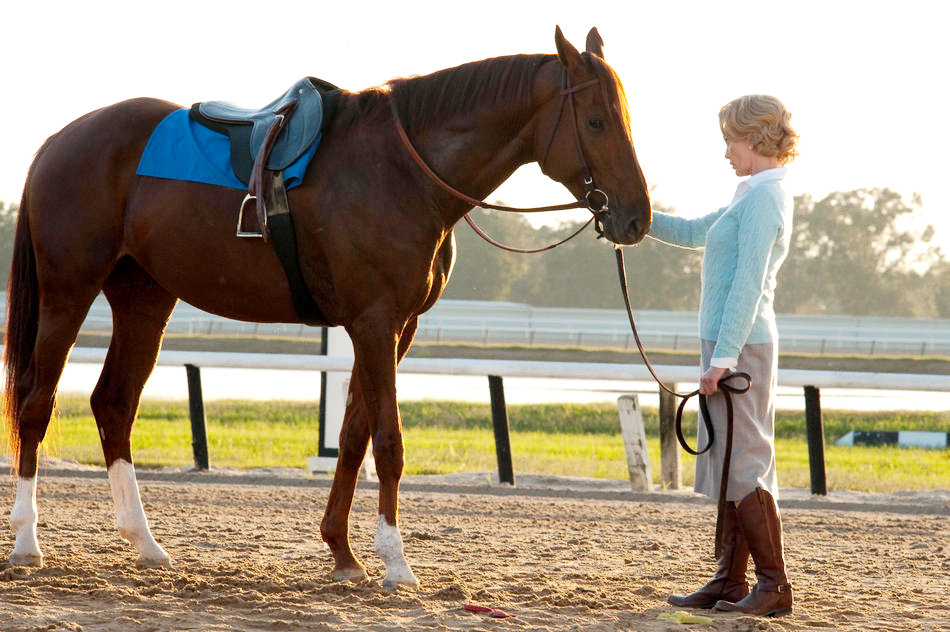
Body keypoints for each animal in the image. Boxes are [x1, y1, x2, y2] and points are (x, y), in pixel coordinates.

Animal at [3, 25, 652, 588]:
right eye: (595, 120)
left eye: (626, 118)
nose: (636, 218)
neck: (404, 171)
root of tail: (62, 140)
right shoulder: (375, 324)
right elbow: (387, 442)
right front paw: (394, 561)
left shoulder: (394, 328)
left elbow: (354, 435)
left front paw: (342, 552)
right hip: (69, 292)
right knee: (37, 404)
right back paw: (28, 543)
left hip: (144, 299)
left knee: (114, 405)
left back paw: (145, 543)